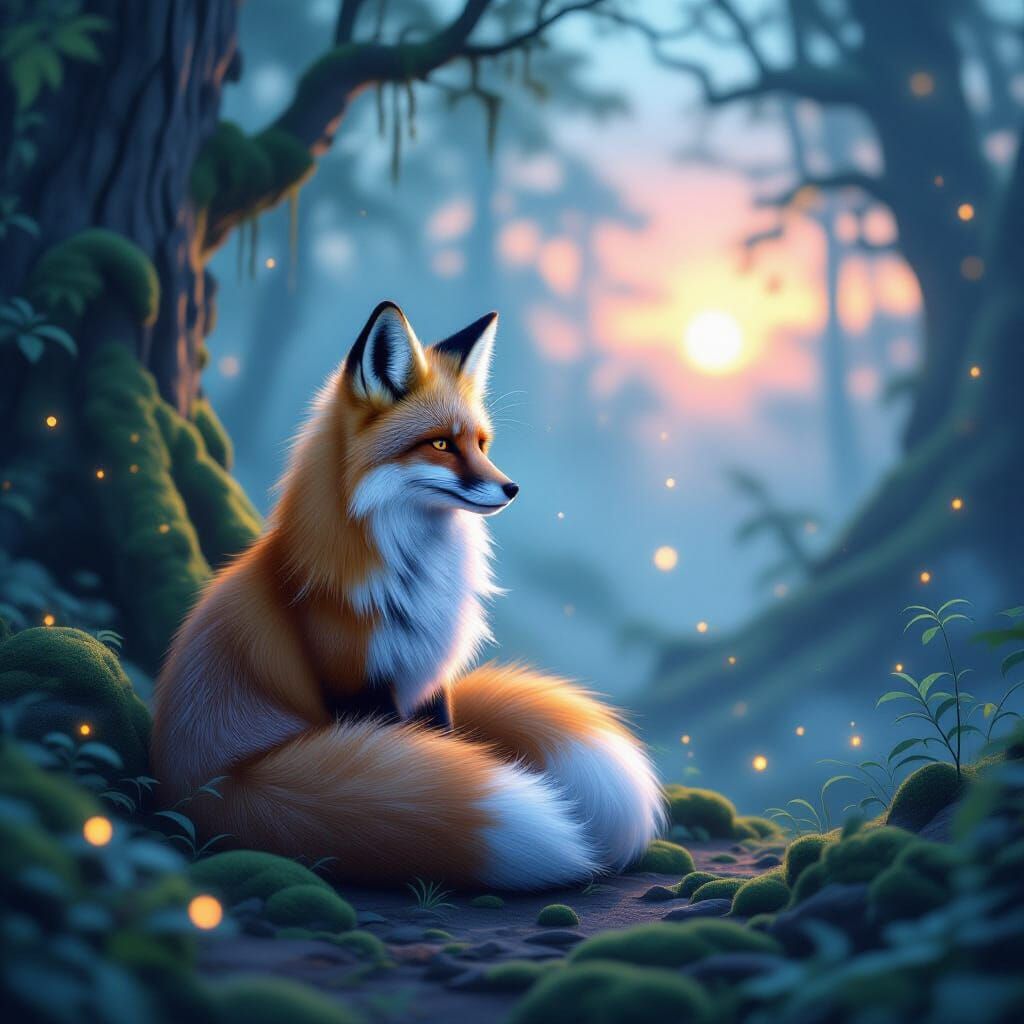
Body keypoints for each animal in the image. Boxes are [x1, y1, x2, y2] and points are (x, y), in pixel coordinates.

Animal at [152, 301, 663, 889]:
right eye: (440, 444)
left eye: (481, 444)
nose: (512, 488)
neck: (413, 581)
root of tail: (192, 792)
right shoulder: (355, 682)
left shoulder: (429, 678)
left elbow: (450, 747)